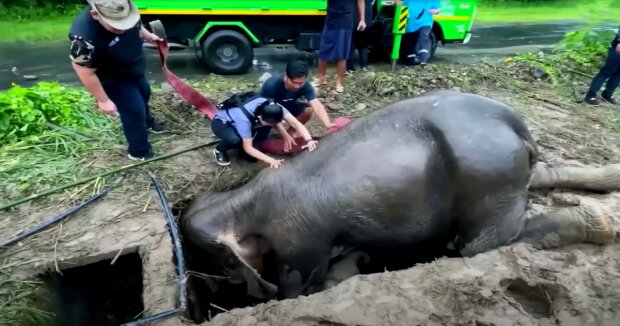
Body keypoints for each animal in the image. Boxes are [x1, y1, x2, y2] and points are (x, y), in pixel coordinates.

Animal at [178, 89, 616, 300]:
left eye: (225, 268)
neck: (239, 200)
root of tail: (514, 121)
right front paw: (358, 259)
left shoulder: (299, 240)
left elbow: (300, 288)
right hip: (506, 171)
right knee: (543, 175)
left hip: (487, 178)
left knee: (479, 244)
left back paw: (600, 222)